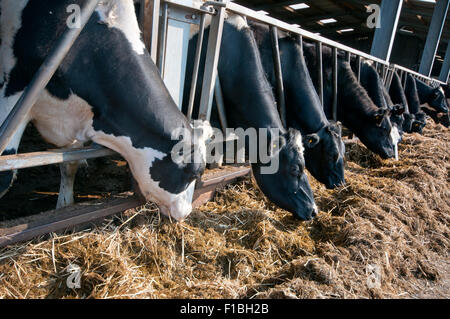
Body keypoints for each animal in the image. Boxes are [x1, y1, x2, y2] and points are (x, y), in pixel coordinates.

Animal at [0, 0, 212, 221]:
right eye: (195, 173)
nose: (187, 212)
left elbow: (69, 164)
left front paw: (64, 206)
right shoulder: (14, 88)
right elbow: (5, 175)